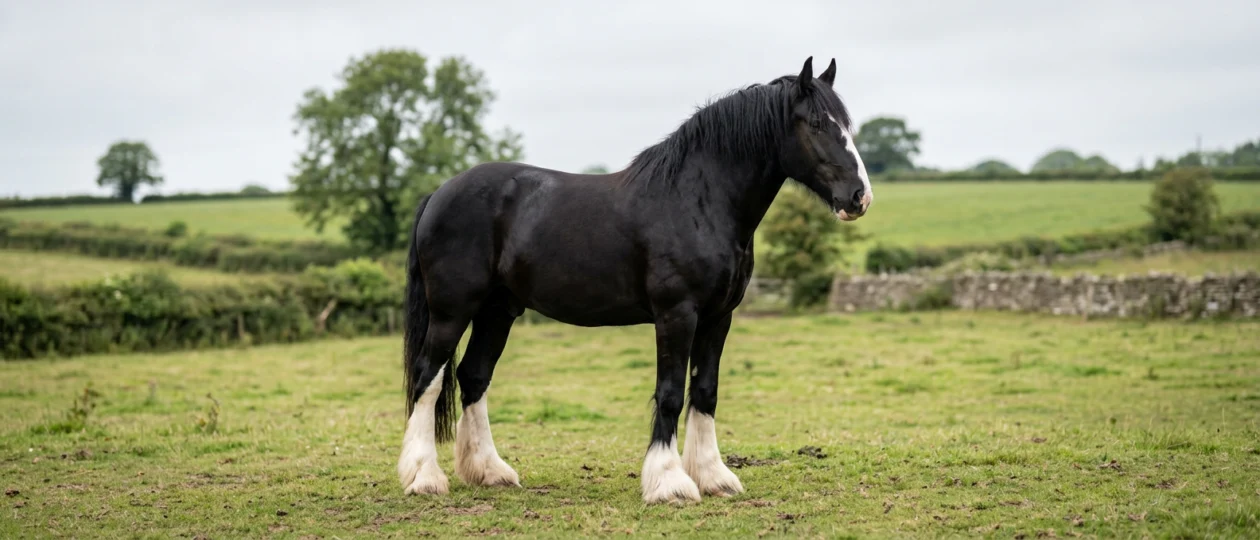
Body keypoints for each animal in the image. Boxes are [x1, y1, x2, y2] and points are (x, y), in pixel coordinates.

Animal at [396, 56, 873, 504]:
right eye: (817, 124)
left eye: (846, 126)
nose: (859, 197)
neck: (697, 200)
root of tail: (439, 193)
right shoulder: (677, 314)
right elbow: (670, 393)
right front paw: (670, 482)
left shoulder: (718, 317)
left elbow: (705, 391)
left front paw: (714, 477)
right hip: (451, 311)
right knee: (428, 377)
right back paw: (424, 477)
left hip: (498, 311)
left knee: (473, 377)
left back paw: (490, 471)